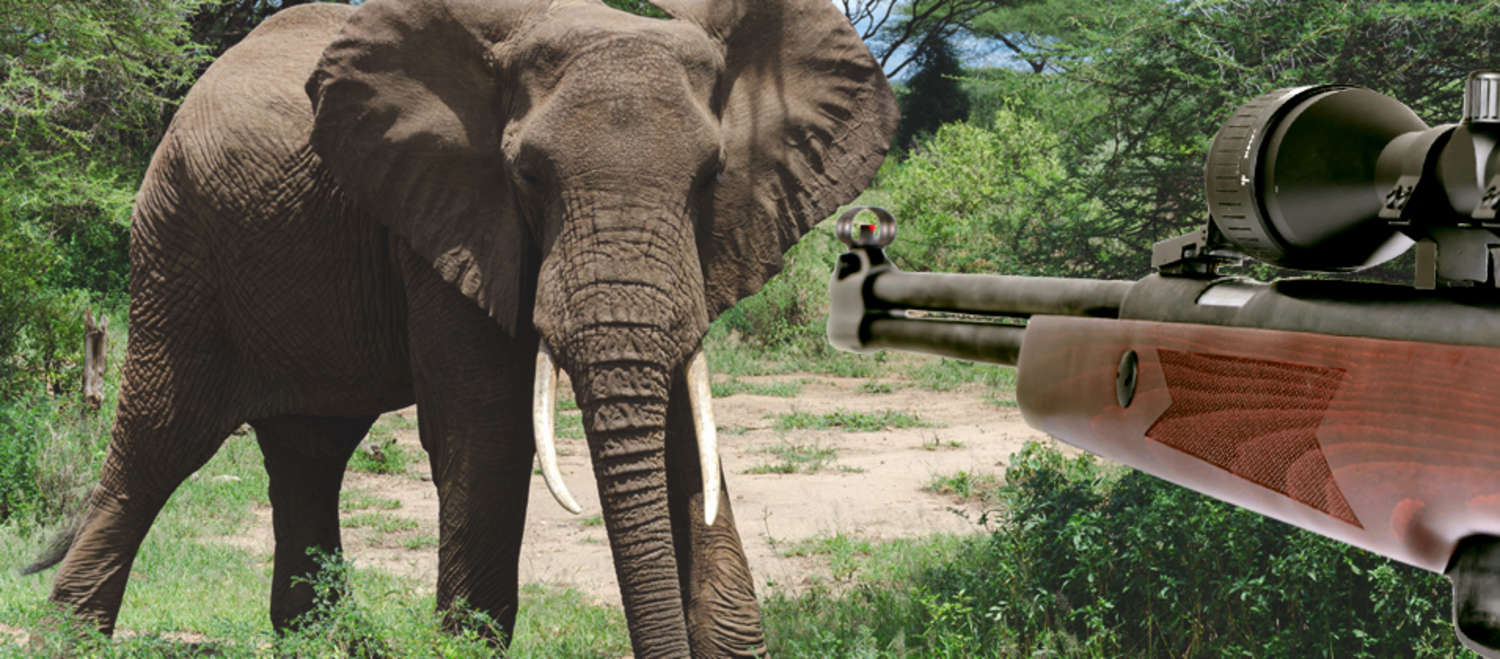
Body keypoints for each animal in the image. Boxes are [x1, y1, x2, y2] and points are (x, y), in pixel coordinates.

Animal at [29, 0, 894, 654]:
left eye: (711, 176)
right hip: (179, 241)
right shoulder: (449, 216)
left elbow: (687, 427)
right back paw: (69, 639)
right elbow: (489, 426)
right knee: (161, 440)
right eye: (527, 176)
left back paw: (325, 642)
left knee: (311, 449)